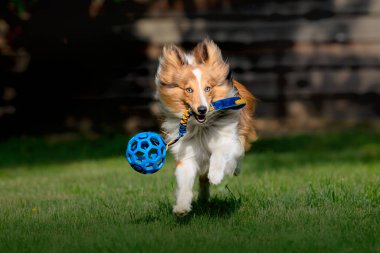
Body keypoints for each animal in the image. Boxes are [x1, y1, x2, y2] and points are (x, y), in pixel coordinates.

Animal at [154, 38, 255, 216]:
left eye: (208, 88)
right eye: (188, 89)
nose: (202, 109)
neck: (201, 127)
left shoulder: (229, 138)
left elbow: (219, 153)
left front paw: (216, 175)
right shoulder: (187, 154)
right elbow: (185, 182)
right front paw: (181, 207)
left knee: (235, 159)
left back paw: (231, 170)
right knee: (202, 179)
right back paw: (202, 197)